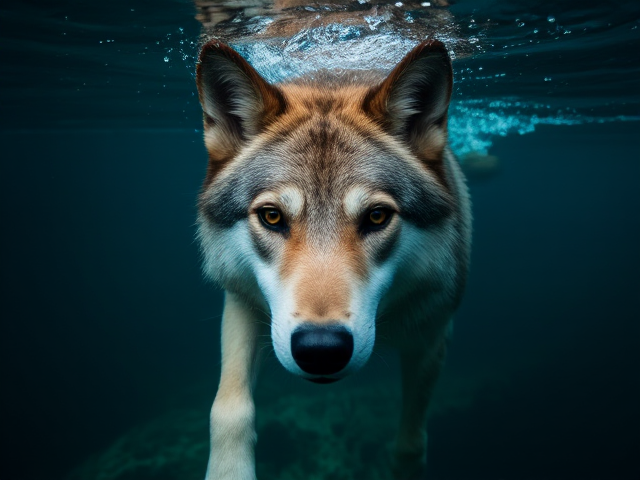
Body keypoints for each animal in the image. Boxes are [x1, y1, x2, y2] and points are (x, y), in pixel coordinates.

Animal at [195, 38, 471, 480]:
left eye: (376, 217)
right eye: (272, 217)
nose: (320, 348)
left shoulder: (432, 338)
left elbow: (411, 442)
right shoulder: (241, 301)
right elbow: (228, 408)